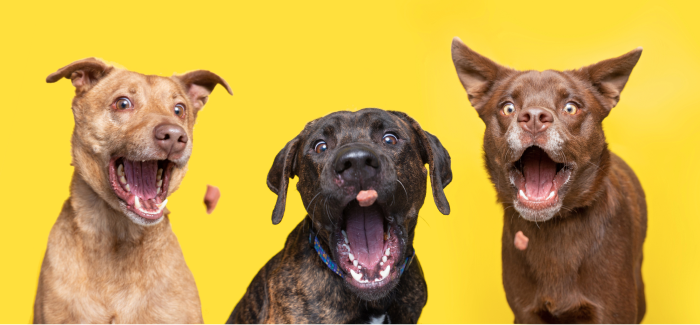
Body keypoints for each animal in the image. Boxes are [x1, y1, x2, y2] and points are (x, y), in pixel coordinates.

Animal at [452, 38, 648, 324]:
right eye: (508, 107)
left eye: (571, 107)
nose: (533, 117)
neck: (554, 227)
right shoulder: (526, 313)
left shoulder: (613, 313)